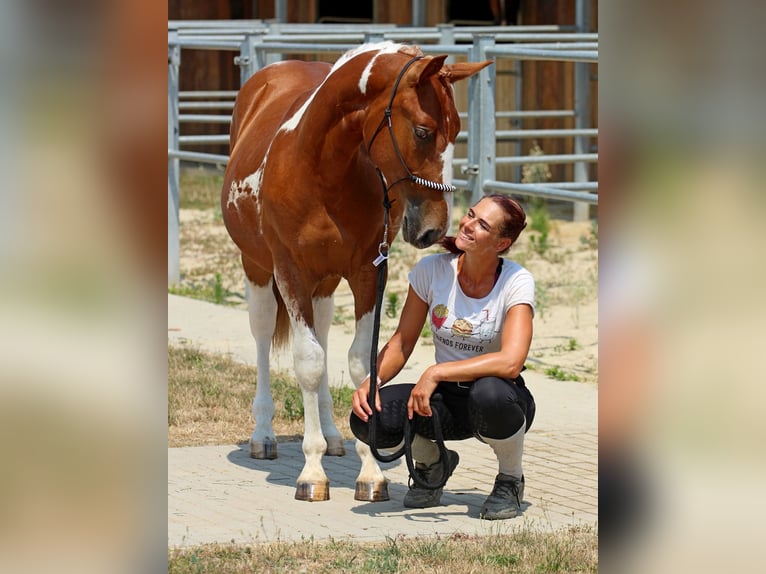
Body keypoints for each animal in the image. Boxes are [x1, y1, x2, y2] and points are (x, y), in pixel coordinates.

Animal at [221, 42, 491, 502]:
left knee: (325, 335)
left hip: (326, 285)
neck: (323, 169)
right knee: (262, 335)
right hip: (257, 269)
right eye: (423, 131)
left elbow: (362, 365)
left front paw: (371, 473)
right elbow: (309, 363)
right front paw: (311, 474)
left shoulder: (367, 272)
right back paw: (264, 436)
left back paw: (332, 436)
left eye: (456, 131)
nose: (434, 229)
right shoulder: (290, 271)